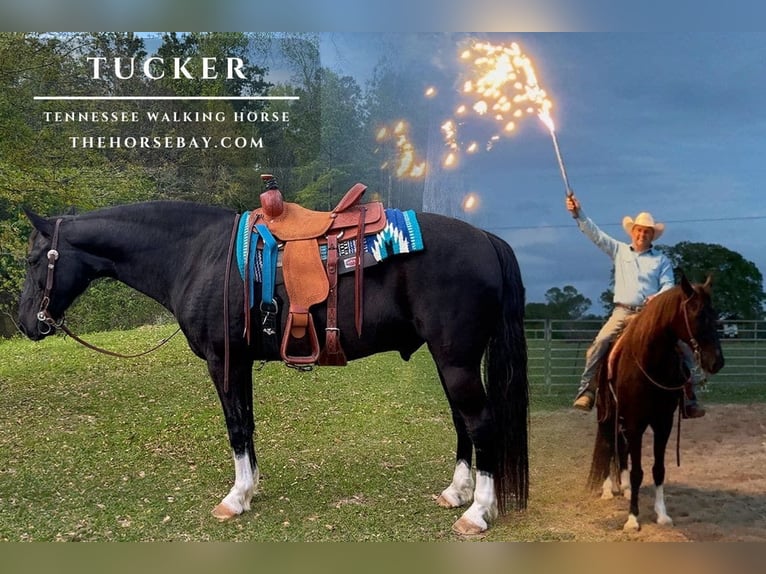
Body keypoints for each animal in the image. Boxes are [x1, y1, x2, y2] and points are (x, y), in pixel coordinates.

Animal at [16, 199, 529, 535]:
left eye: (35, 258)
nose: (25, 322)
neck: (198, 255)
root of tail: (486, 239)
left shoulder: (223, 360)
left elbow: (236, 427)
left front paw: (235, 498)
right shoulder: (239, 362)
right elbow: (247, 424)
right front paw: (251, 488)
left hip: (456, 360)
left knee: (481, 424)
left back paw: (477, 512)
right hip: (450, 360)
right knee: (463, 423)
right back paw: (456, 493)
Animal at [587, 275, 724, 531]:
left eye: (714, 314)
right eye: (696, 314)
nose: (717, 362)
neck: (650, 363)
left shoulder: (663, 423)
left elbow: (658, 469)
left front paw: (662, 515)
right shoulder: (635, 422)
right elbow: (638, 471)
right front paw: (632, 519)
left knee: (622, 449)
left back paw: (624, 487)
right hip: (607, 414)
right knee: (608, 443)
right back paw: (608, 489)